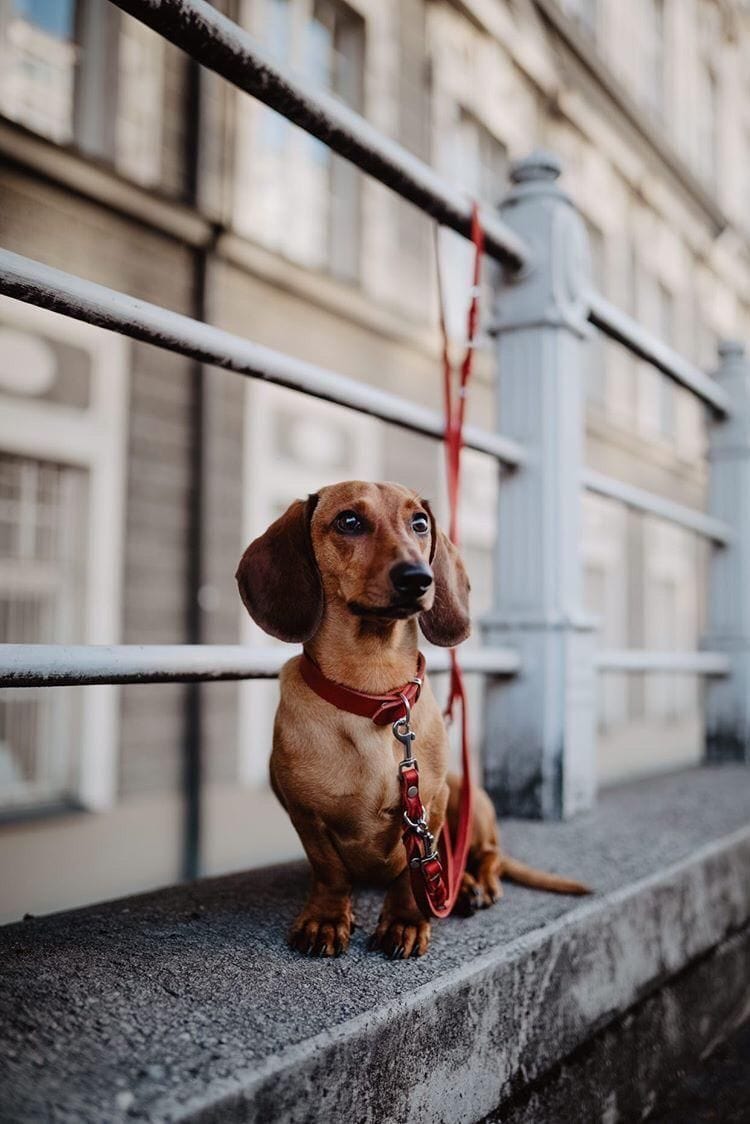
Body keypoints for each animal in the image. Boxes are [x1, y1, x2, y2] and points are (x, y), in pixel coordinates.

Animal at [237, 481, 589, 957]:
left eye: (419, 522)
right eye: (349, 520)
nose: (418, 578)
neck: (373, 692)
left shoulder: (431, 806)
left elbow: (413, 872)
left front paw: (405, 921)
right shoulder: (306, 815)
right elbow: (330, 873)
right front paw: (326, 918)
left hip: (470, 798)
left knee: (487, 855)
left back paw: (474, 886)